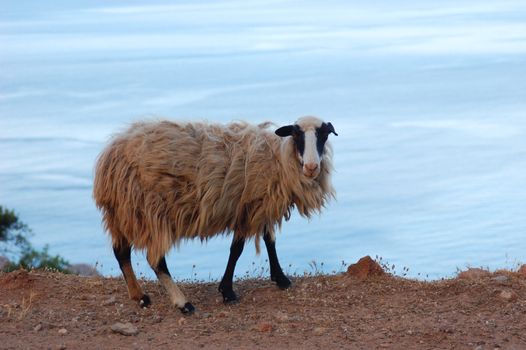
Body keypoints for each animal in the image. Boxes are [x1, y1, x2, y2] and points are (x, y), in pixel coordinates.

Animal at [93, 115, 338, 314]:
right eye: (296, 134)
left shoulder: (259, 206)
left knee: (121, 252)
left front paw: (280, 278)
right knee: (156, 261)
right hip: (150, 211)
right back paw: (182, 303)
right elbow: (237, 249)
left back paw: (139, 296)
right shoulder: (247, 208)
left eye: (324, 135)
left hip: (123, 213)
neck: (277, 159)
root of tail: (109, 158)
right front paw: (227, 291)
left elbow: (269, 240)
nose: (311, 167)